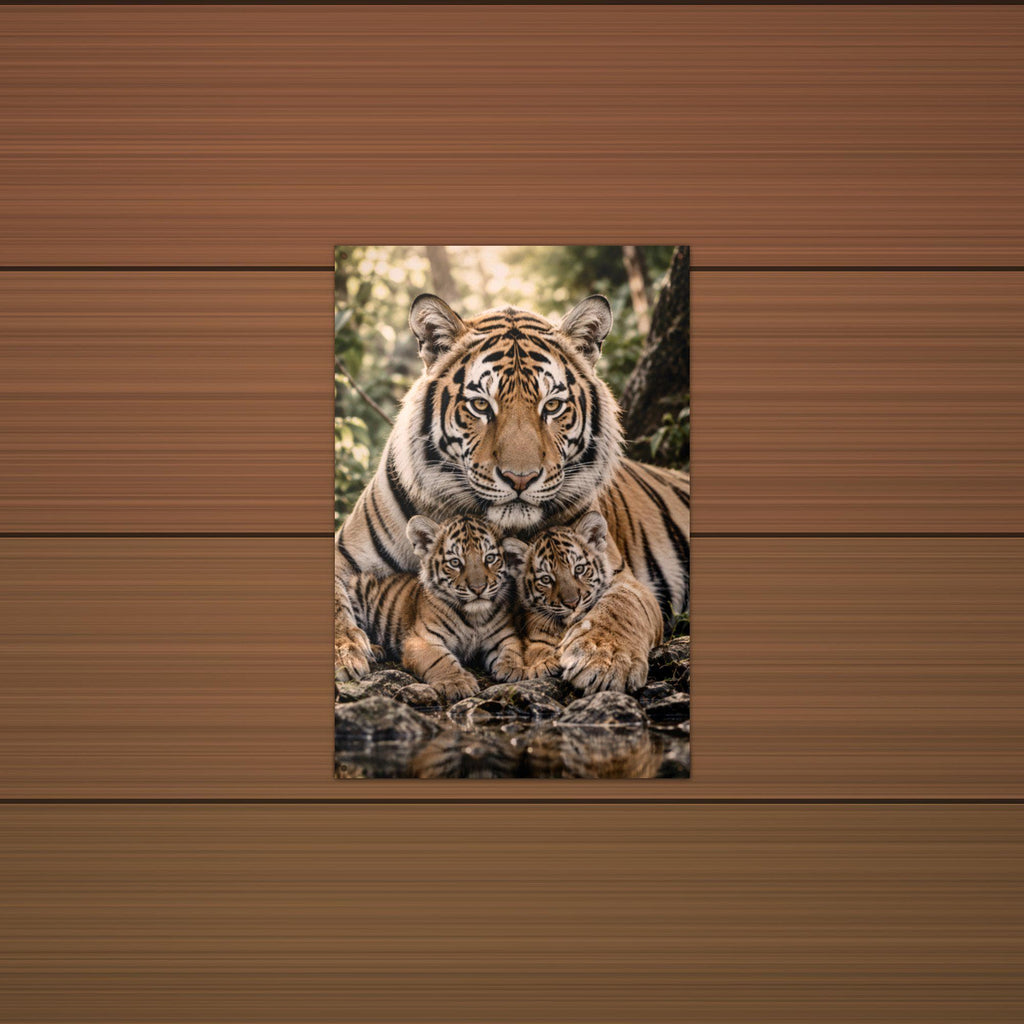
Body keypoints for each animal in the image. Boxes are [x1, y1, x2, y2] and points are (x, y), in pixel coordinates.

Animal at [348, 514, 526, 701]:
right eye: (455, 562)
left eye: (490, 558)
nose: (478, 588)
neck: (474, 616)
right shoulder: (422, 640)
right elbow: (440, 659)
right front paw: (457, 682)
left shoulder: (503, 634)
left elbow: (512, 648)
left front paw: (513, 668)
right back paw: (373, 650)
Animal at [503, 510, 614, 681]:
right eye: (546, 579)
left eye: (579, 569)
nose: (572, 603)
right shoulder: (534, 638)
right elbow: (538, 650)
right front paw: (545, 664)